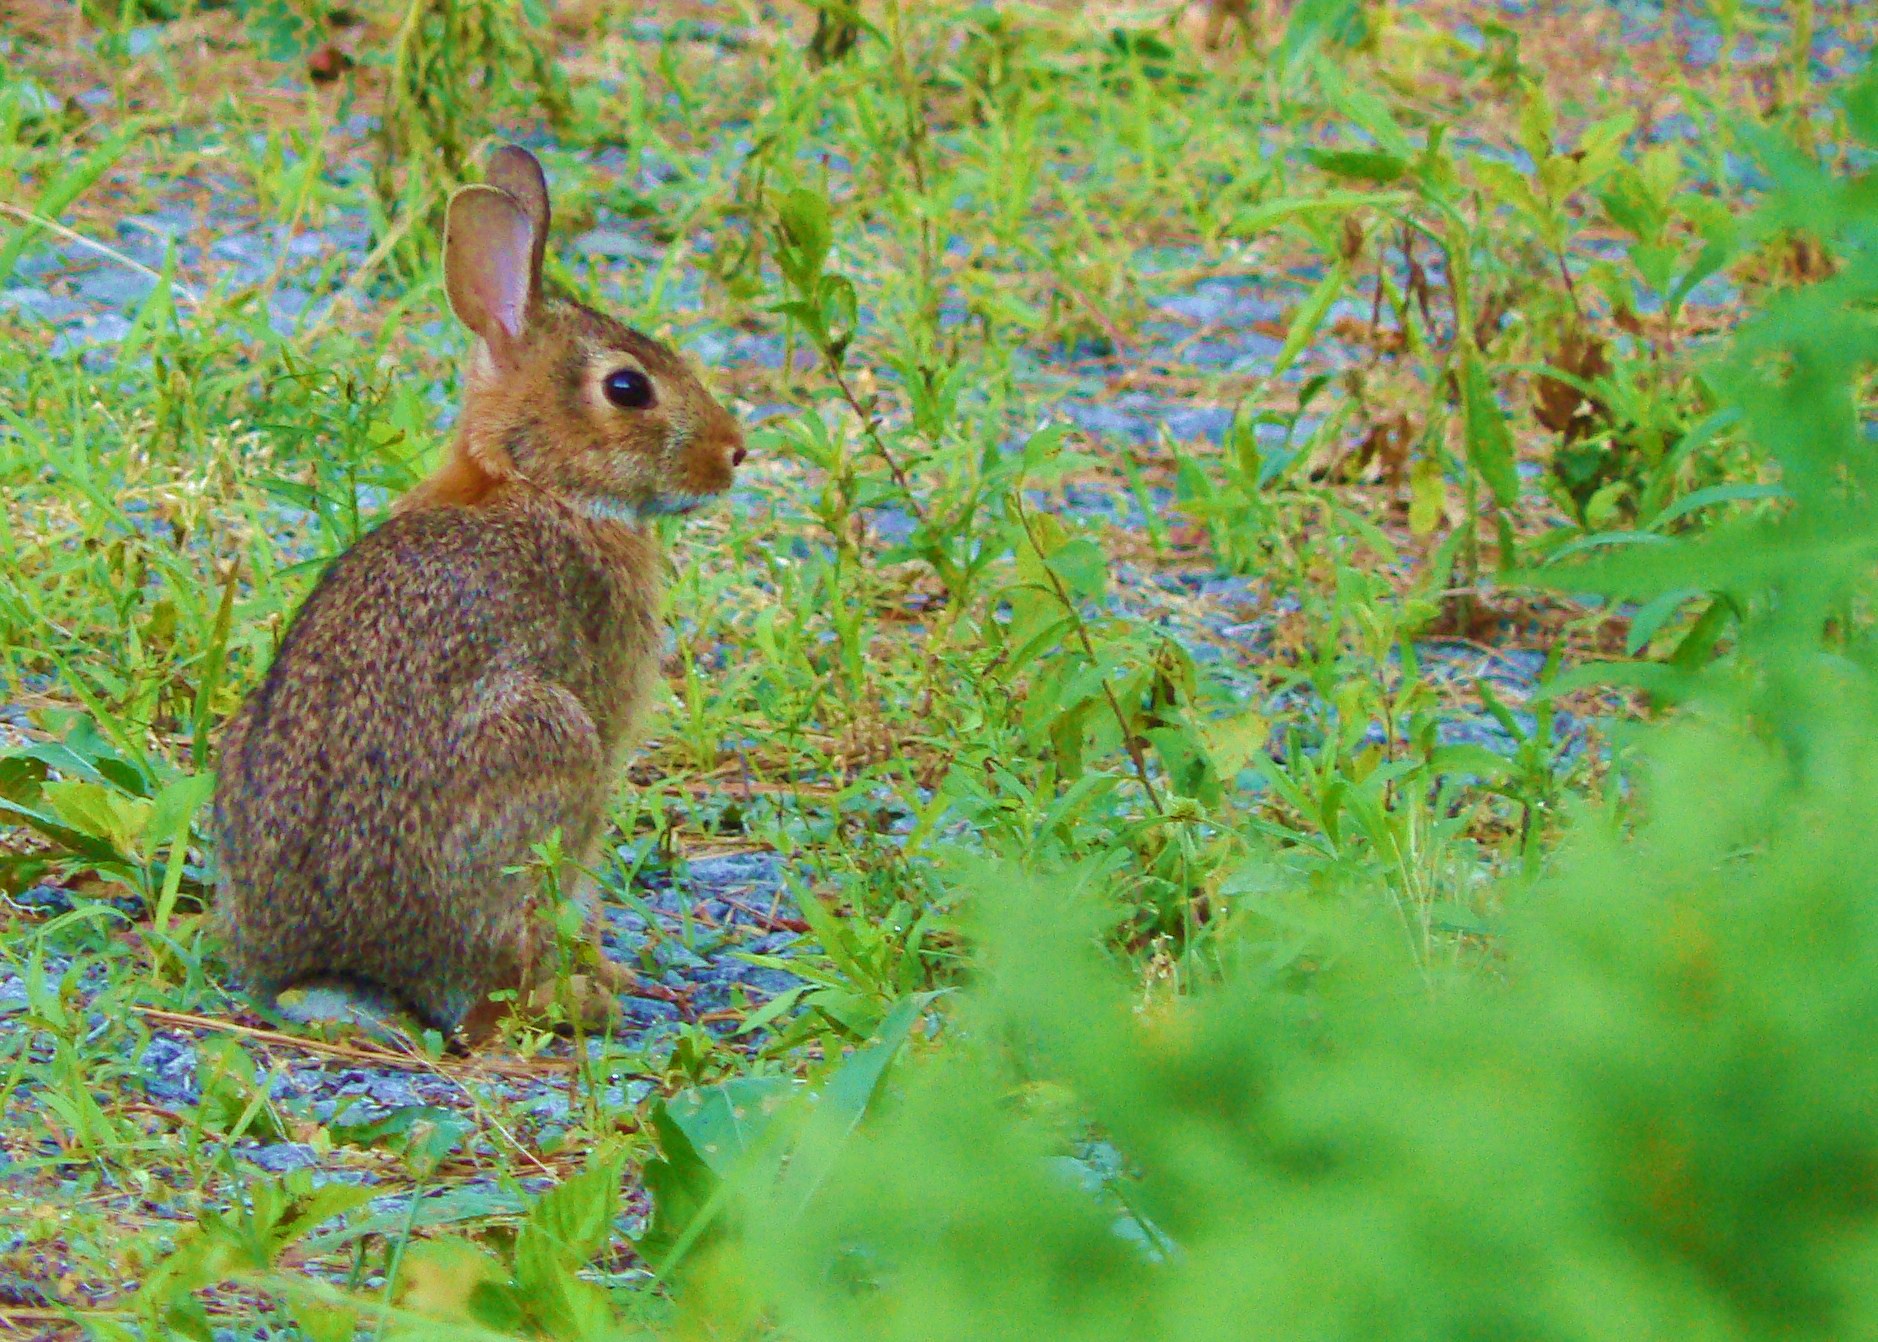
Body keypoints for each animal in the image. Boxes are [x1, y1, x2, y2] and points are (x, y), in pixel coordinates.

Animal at [215, 149, 743, 1051]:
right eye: (627, 388)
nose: (734, 452)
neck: (534, 482)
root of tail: (340, 966)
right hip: (545, 753)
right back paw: (588, 999)